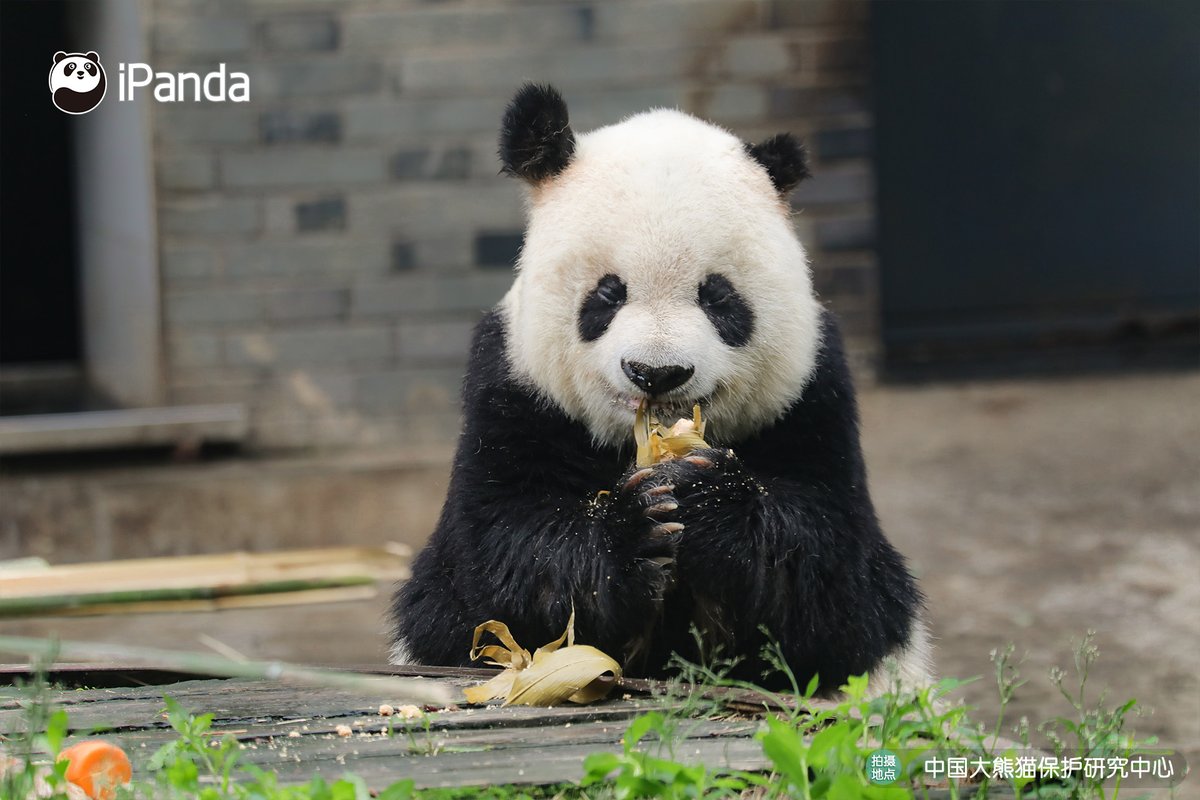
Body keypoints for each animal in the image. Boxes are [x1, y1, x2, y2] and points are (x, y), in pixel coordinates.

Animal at [390, 84, 931, 695]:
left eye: (718, 298)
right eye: (608, 294)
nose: (657, 372)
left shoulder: (813, 395)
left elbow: (832, 578)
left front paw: (706, 499)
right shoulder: (513, 392)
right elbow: (497, 569)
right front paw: (634, 528)